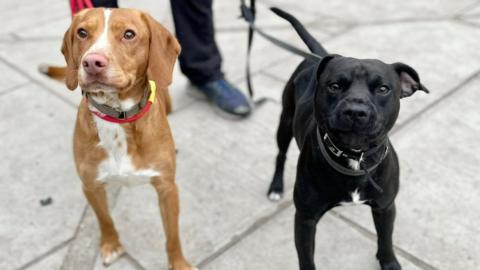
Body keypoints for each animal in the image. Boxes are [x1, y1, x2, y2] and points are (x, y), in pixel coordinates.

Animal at [60, 7, 195, 268]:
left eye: (129, 34)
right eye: (82, 32)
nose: (92, 62)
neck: (118, 118)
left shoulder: (167, 188)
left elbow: (172, 235)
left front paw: (179, 263)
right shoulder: (91, 186)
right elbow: (105, 220)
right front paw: (111, 244)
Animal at [268, 7, 430, 268]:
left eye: (383, 88)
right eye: (334, 86)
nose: (356, 110)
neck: (355, 158)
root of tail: (318, 56)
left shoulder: (385, 207)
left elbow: (386, 239)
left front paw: (389, 262)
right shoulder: (305, 219)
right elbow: (306, 258)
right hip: (284, 122)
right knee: (281, 154)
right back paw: (275, 186)